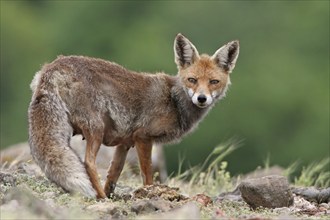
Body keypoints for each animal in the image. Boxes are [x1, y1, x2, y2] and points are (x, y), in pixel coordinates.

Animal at [28, 33, 240, 199]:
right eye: (192, 80)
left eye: (213, 82)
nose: (202, 98)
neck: (173, 100)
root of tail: (53, 66)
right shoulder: (143, 137)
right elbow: (147, 176)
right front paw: (150, 193)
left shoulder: (125, 143)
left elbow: (113, 175)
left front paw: (112, 195)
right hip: (95, 128)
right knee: (88, 163)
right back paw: (100, 197)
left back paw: (103, 196)